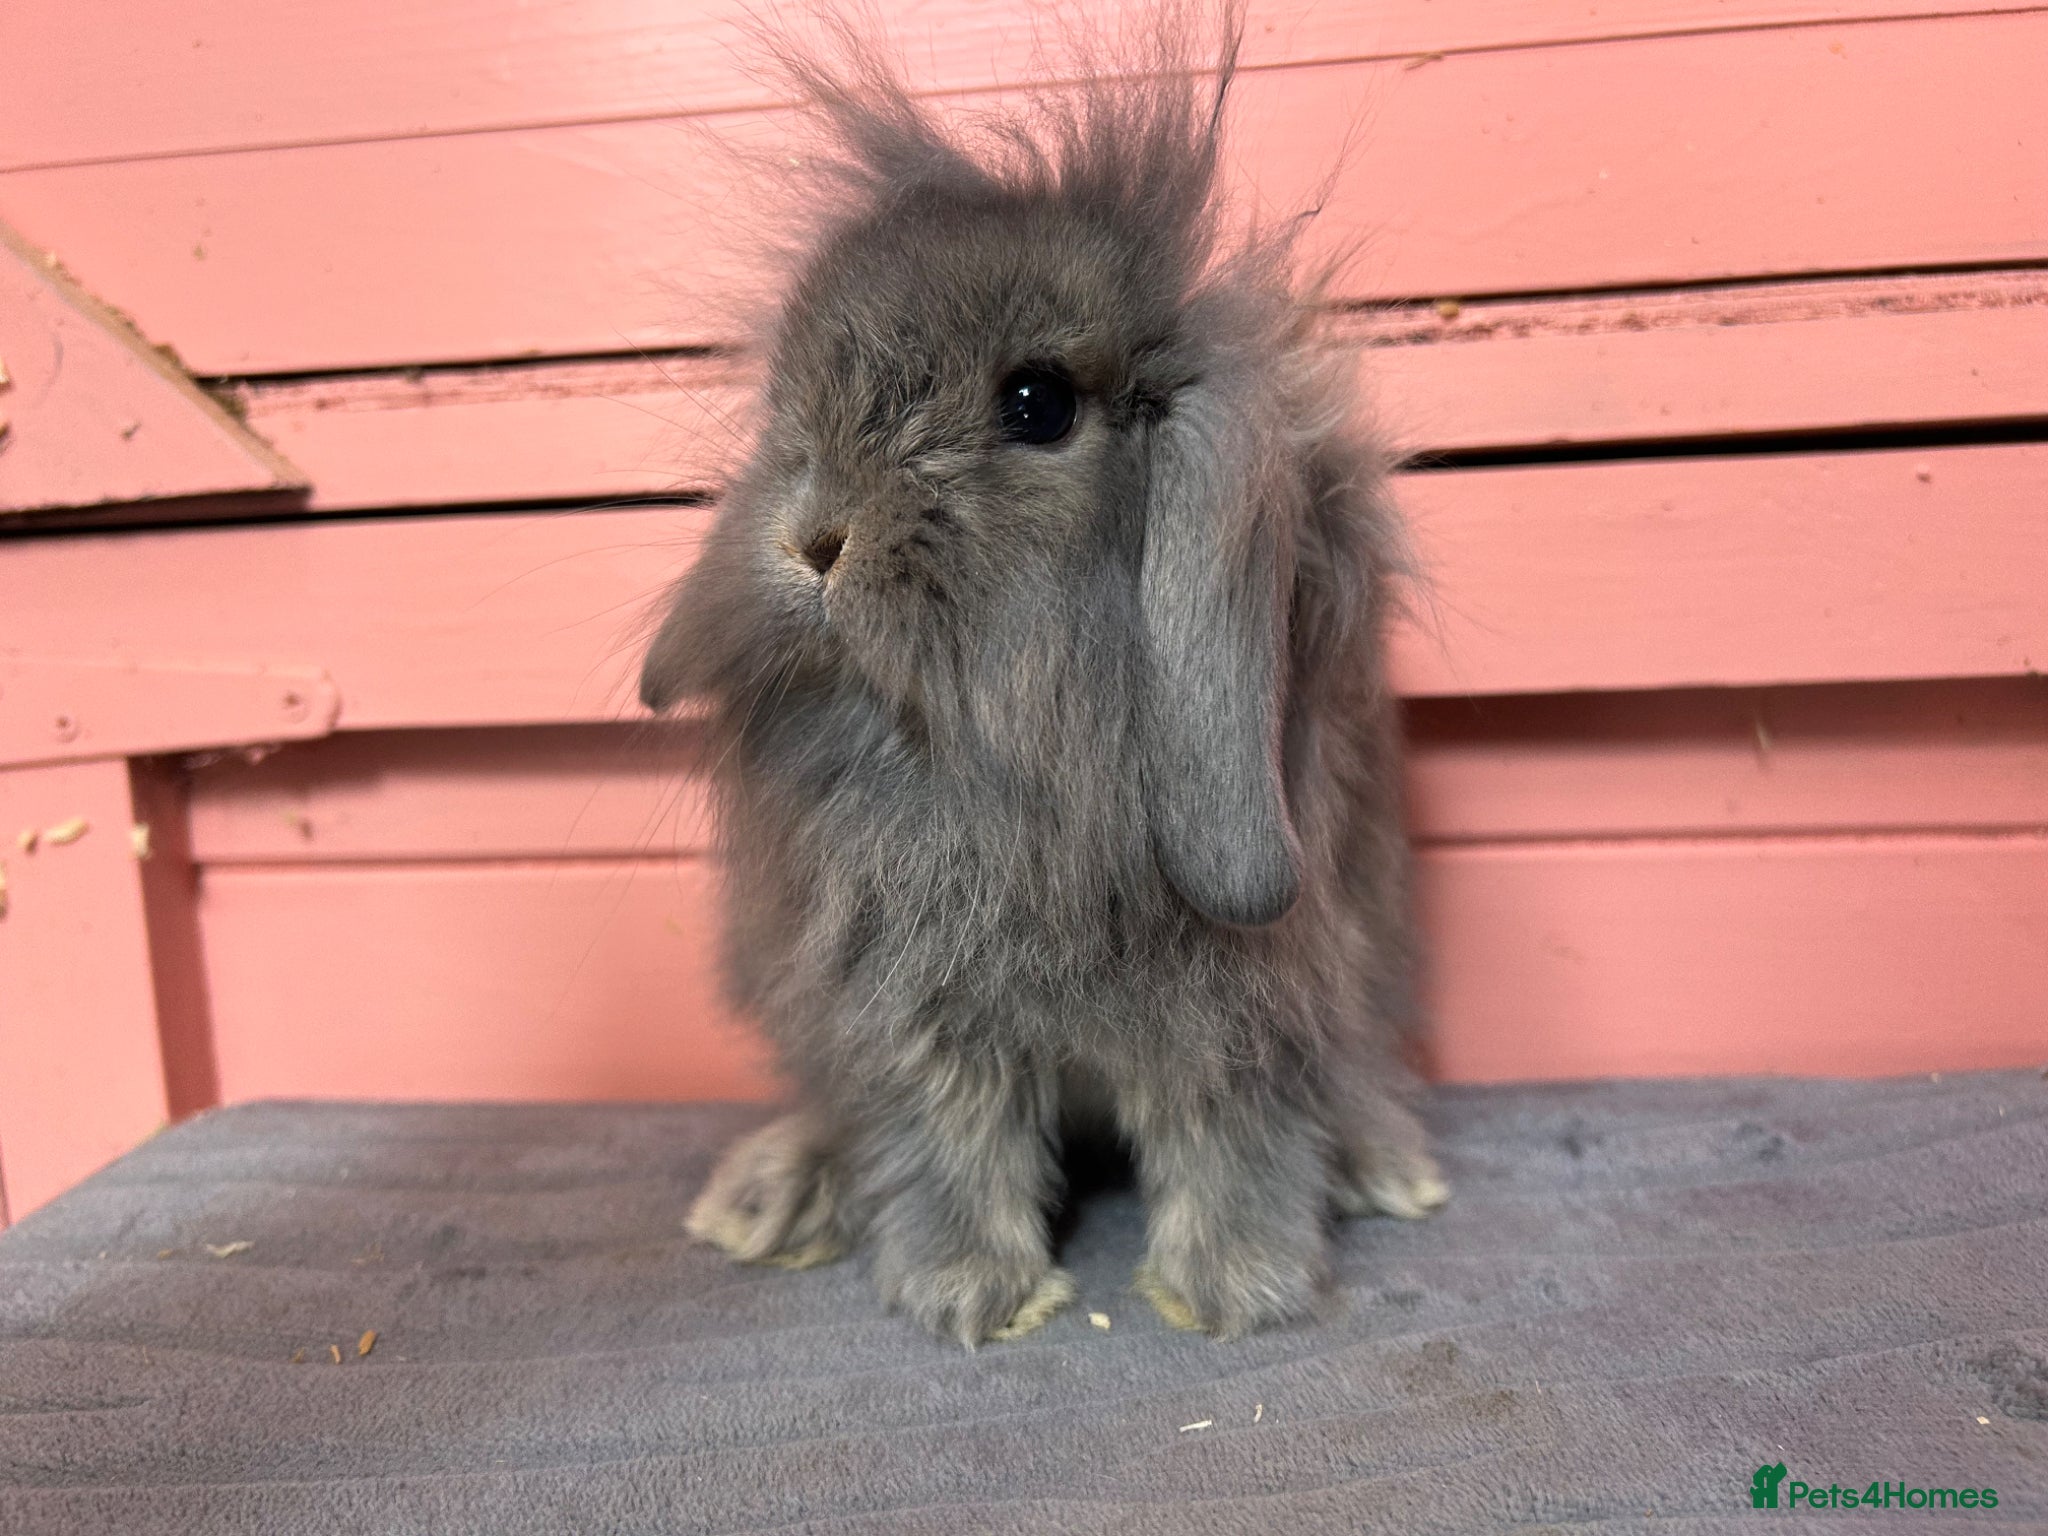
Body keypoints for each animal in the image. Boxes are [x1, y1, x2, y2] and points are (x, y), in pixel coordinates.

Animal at [638, 18, 1447, 1346]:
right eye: (788, 404)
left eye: (1035, 403)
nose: (812, 540)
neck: (1007, 760)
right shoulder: (912, 1011)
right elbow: (946, 1147)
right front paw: (967, 1295)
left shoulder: (1249, 1007)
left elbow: (1235, 1139)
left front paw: (1236, 1291)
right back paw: (773, 1196)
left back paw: (1385, 1165)